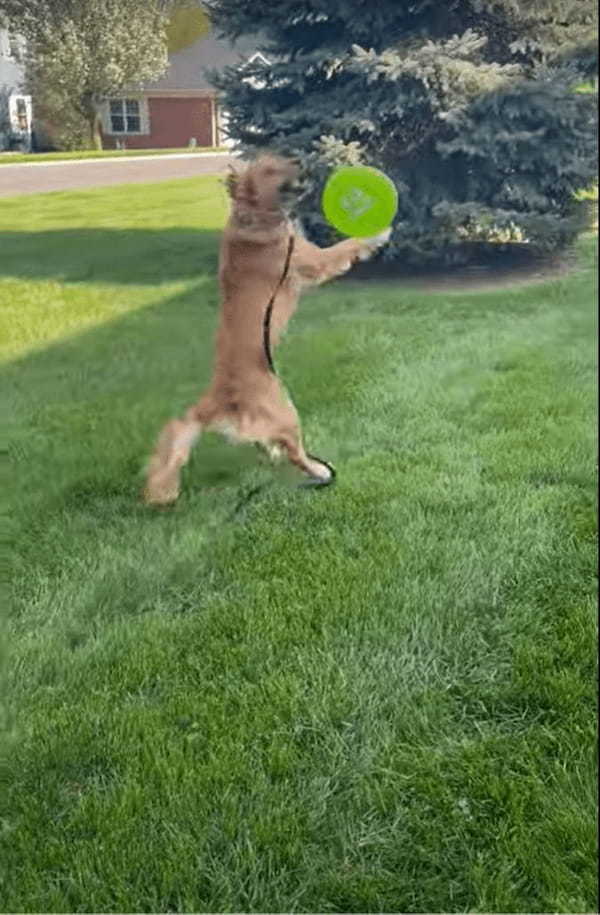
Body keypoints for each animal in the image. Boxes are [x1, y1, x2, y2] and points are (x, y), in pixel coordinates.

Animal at [144, 153, 392, 504]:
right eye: (272, 168)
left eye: (283, 158)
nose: (300, 161)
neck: (256, 214)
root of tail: (218, 398)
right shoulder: (312, 261)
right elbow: (345, 246)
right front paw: (378, 233)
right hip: (286, 412)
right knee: (295, 452)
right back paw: (319, 471)